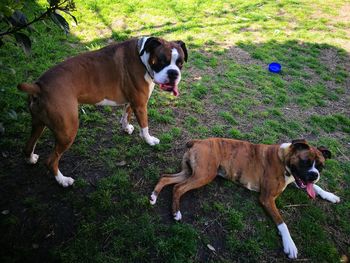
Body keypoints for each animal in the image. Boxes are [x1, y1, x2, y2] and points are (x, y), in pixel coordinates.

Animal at [18, 36, 189, 188]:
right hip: (67, 130)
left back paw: (30, 159)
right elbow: (144, 126)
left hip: (39, 123)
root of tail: (39, 86)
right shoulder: (140, 105)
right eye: (162, 61)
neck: (143, 57)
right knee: (51, 160)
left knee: (28, 146)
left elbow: (126, 114)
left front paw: (126, 127)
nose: (173, 73)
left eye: (180, 63)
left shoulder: (132, 101)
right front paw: (149, 140)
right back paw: (63, 180)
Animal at [149, 139, 340, 258]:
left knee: (166, 178)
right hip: (204, 175)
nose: (314, 175)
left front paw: (330, 195)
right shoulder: (267, 198)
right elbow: (282, 222)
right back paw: (176, 212)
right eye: (305, 162)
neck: (284, 159)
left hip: (190, 172)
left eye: (321, 166)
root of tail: (197, 141)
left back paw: (153, 196)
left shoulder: (296, 181)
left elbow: (315, 188)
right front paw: (289, 245)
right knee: (178, 188)